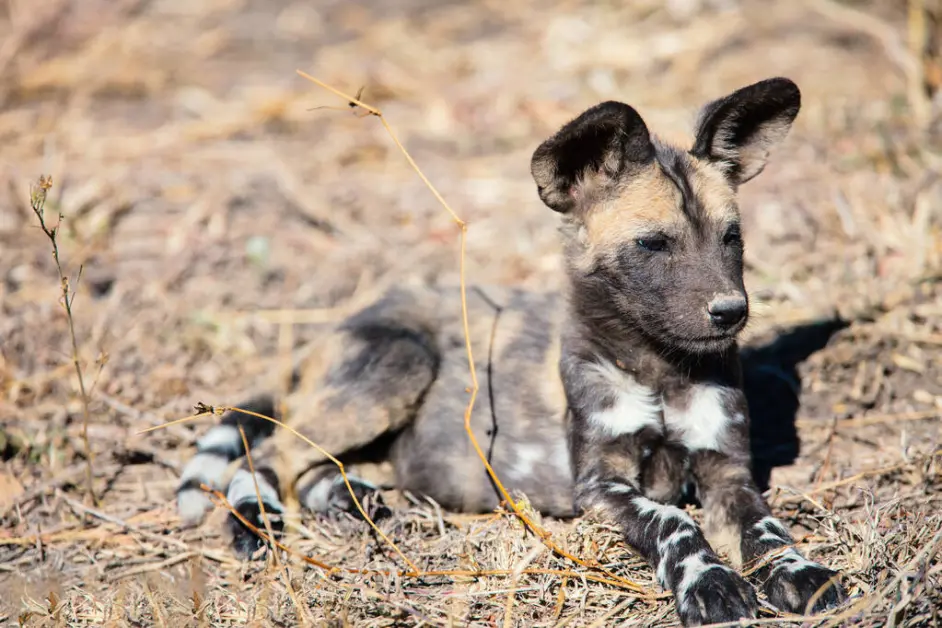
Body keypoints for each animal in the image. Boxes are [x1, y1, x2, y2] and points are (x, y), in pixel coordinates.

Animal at [177, 77, 848, 624]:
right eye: (653, 244)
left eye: (732, 238)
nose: (730, 311)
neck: (659, 368)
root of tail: (338, 324)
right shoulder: (600, 486)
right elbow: (675, 522)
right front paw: (708, 583)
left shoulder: (729, 474)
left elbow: (767, 526)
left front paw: (802, 574)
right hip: (398, 366)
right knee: (269, 454)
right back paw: (255, 523)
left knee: (307, 462)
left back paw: (353, 499)